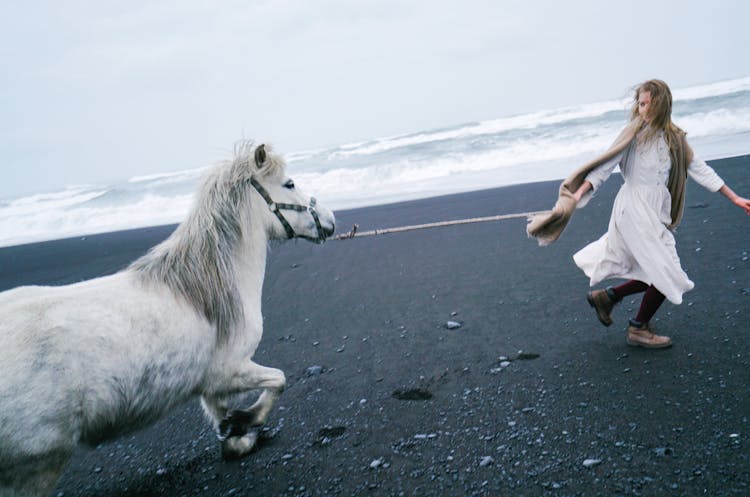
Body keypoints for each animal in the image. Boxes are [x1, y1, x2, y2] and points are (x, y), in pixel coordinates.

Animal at [0, 140, 336, 496]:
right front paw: (247, 421)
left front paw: (236, 438)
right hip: (37, 467)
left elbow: (221, 413)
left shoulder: (213, 385)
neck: (204, 288)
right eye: (290, 184)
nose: (331, 219)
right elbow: (279, 380)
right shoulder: (229, 371)